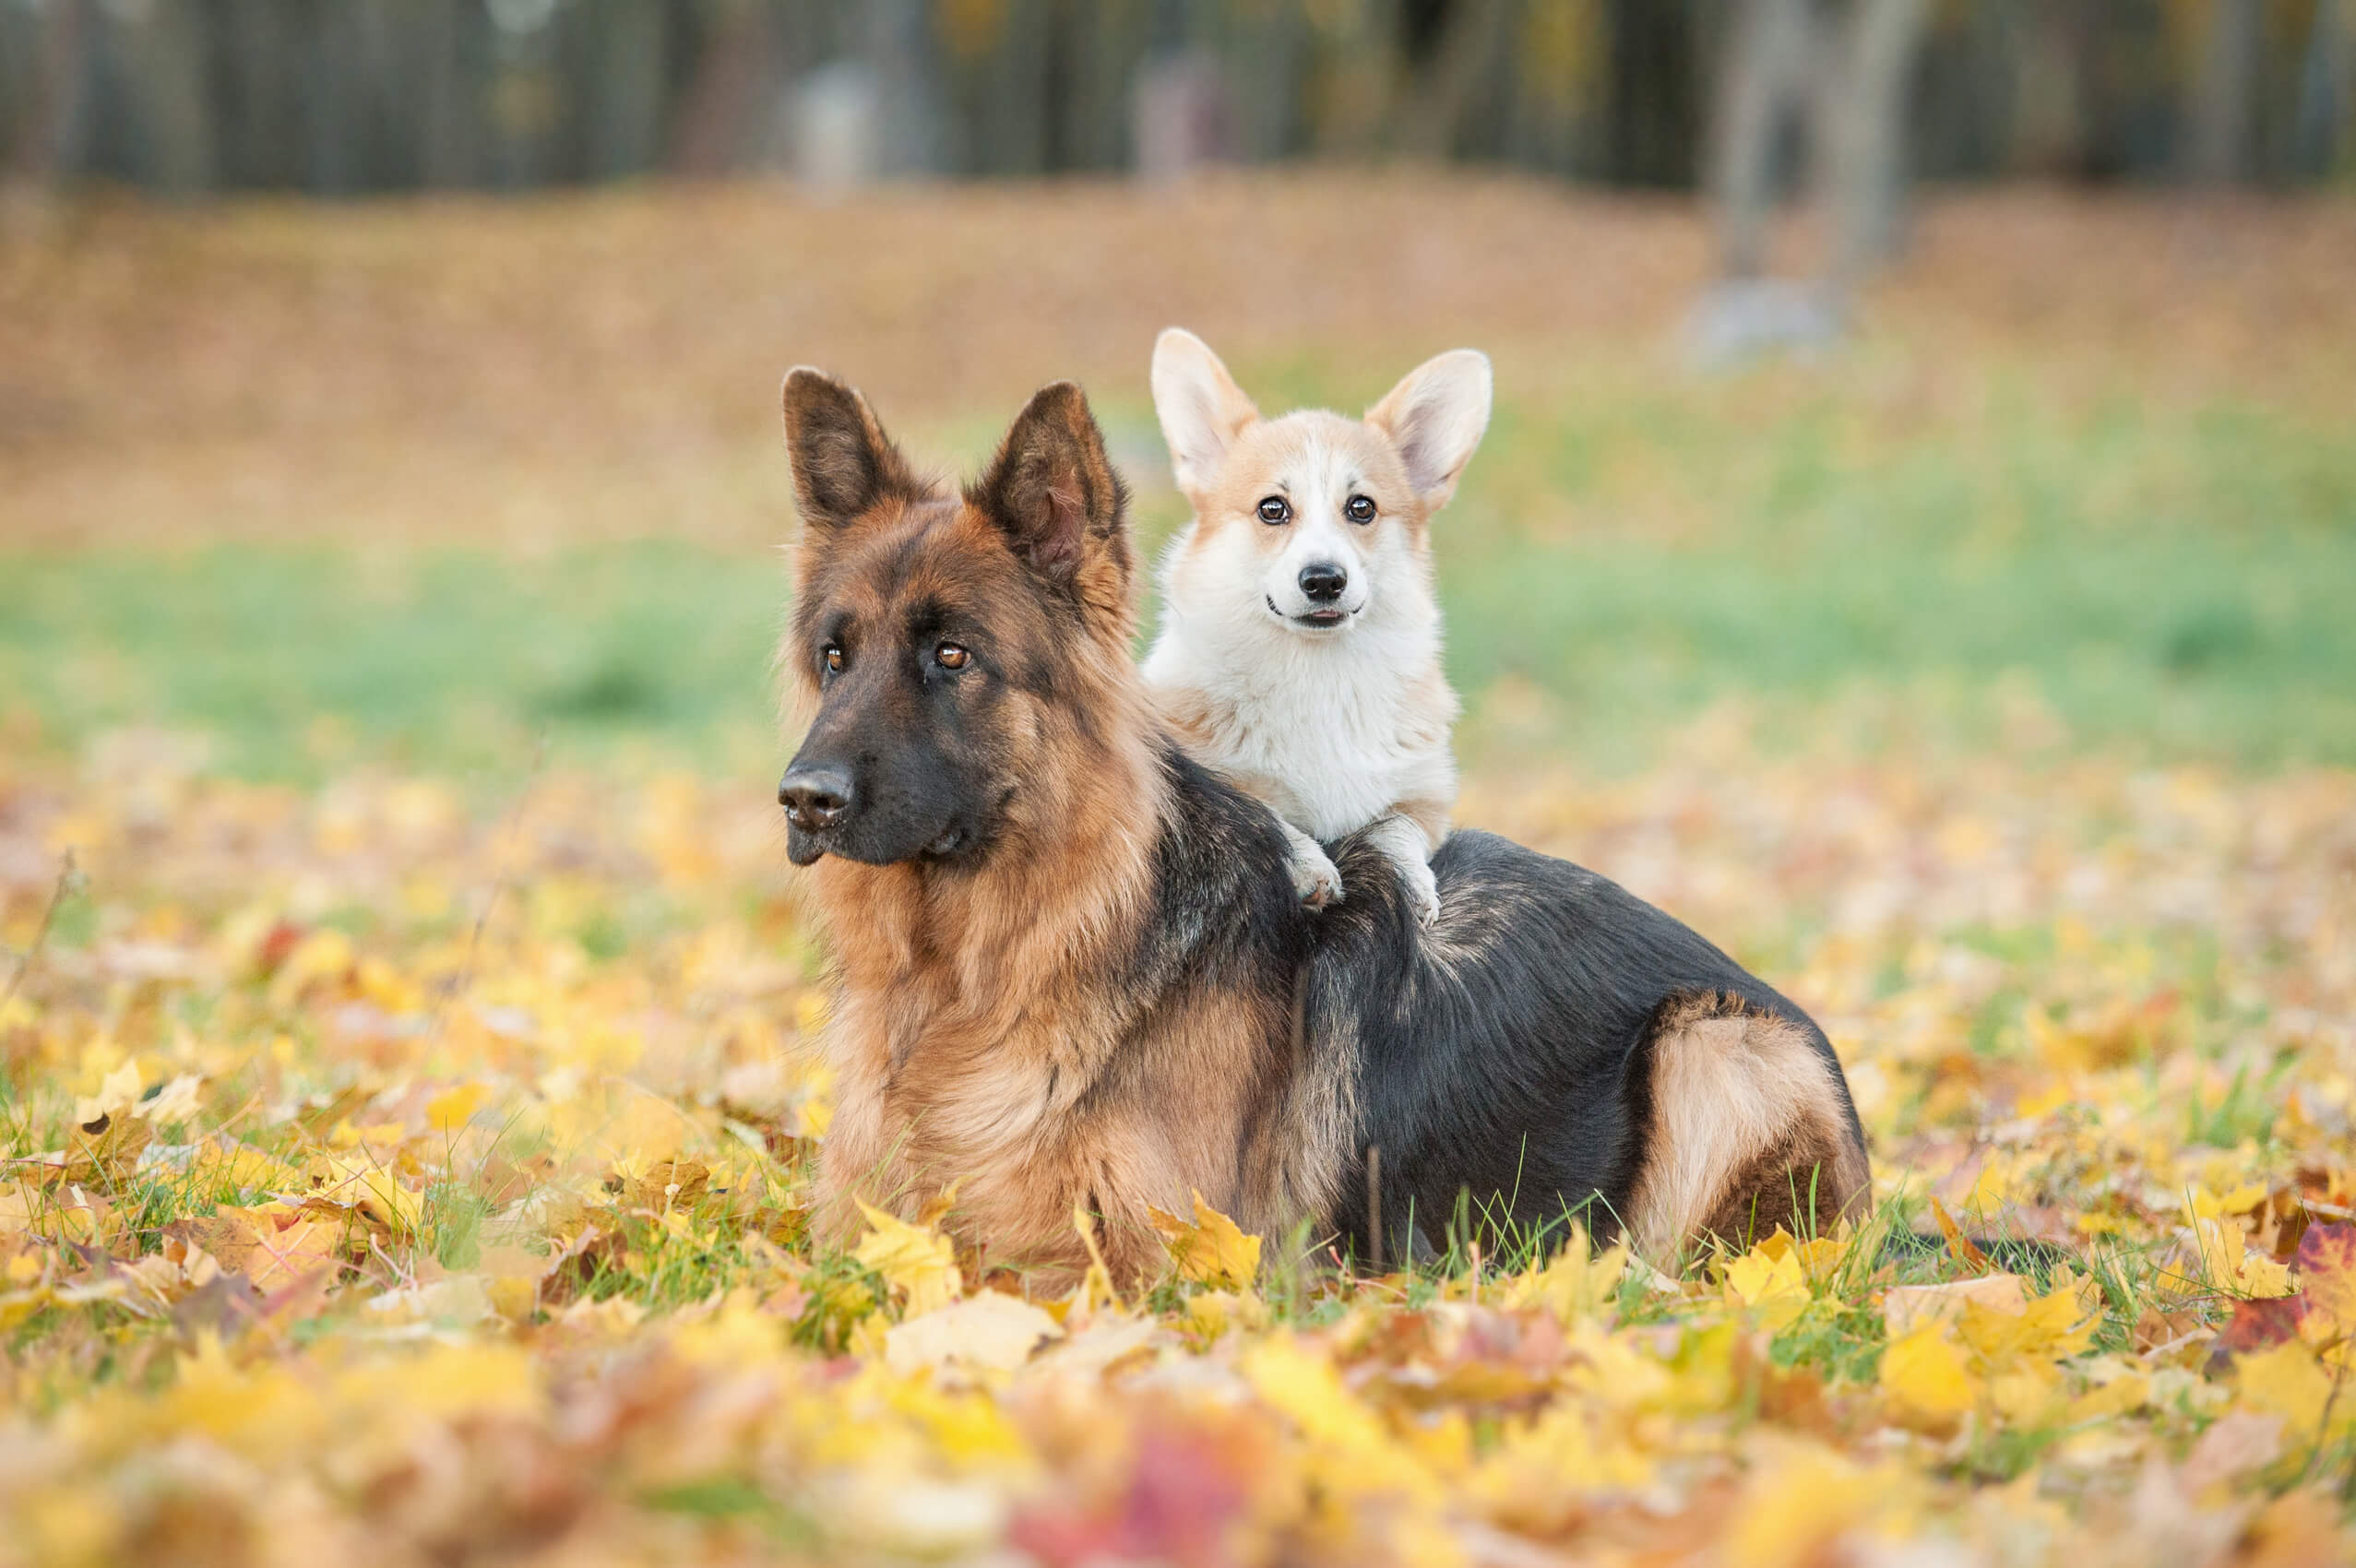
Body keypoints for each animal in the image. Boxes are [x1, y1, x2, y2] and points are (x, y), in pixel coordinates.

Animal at [1140, 322, 1489, 922]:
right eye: (1272, 509)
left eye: (1362, 508)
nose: (1324, 580)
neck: (1318, 674)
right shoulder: (1206, 782)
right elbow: (1269, 814)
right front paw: (1309, 868)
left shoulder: (1424, 797)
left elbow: (1394, 830)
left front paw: (1412, 885)